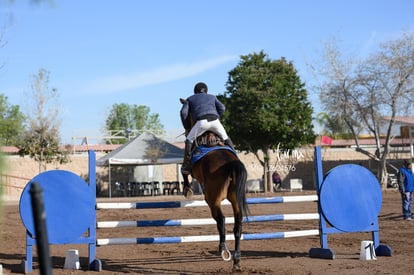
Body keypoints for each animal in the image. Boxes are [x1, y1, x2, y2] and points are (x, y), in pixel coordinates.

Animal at [179, 98, 249, 270]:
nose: (186, 130)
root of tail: (231, 164)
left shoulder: (189, 167)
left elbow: (184, 171)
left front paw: (187, 189)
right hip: (236, 199)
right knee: (238, 225)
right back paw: (236, 261)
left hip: (213, 200)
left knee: (221, 220)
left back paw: (223, 250)